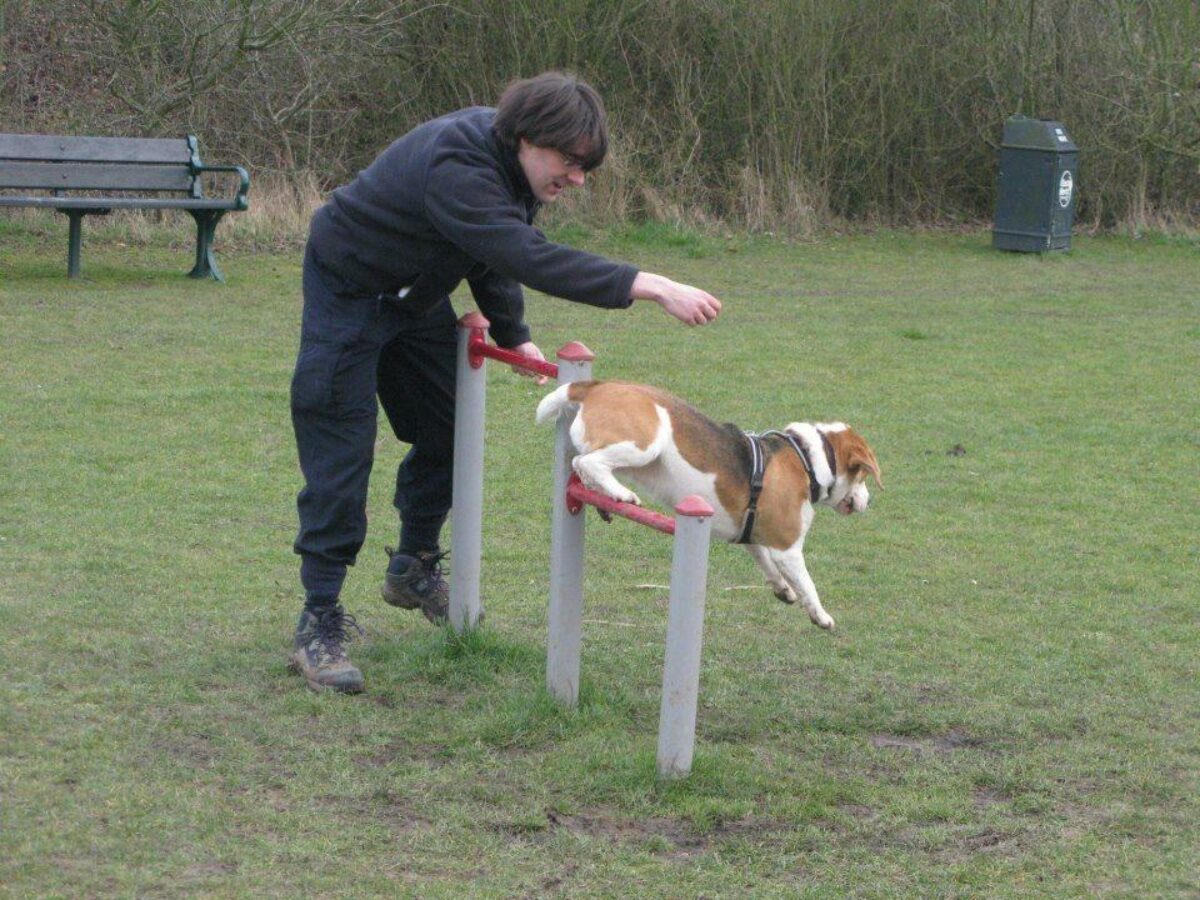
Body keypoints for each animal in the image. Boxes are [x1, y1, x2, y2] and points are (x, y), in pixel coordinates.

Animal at [537, 384, 883, 628]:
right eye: (864, 476)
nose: (869, 501)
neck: (809, 459)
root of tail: (596, 385)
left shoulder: (753, 537)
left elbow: (769, 567)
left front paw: (783, 589)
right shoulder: (788, 549)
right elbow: (809, 584)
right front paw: (821, 615)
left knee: (584, 465)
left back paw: (606, 496)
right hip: (646, 444)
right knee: (586, 462)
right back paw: (621, 494)